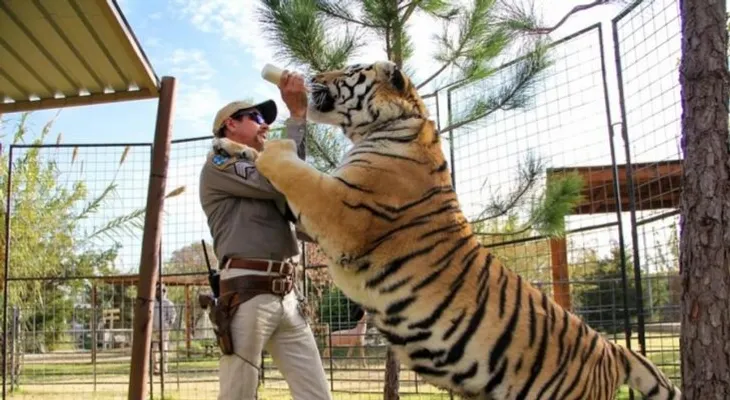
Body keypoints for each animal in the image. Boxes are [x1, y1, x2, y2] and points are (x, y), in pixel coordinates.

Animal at [216, 60, 681, 399]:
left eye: (348, 71)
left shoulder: (340, 210)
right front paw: (229, 145)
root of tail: (613, 349)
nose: (311, 76)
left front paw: (269, 145)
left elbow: (291, 167)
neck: (389, 126)